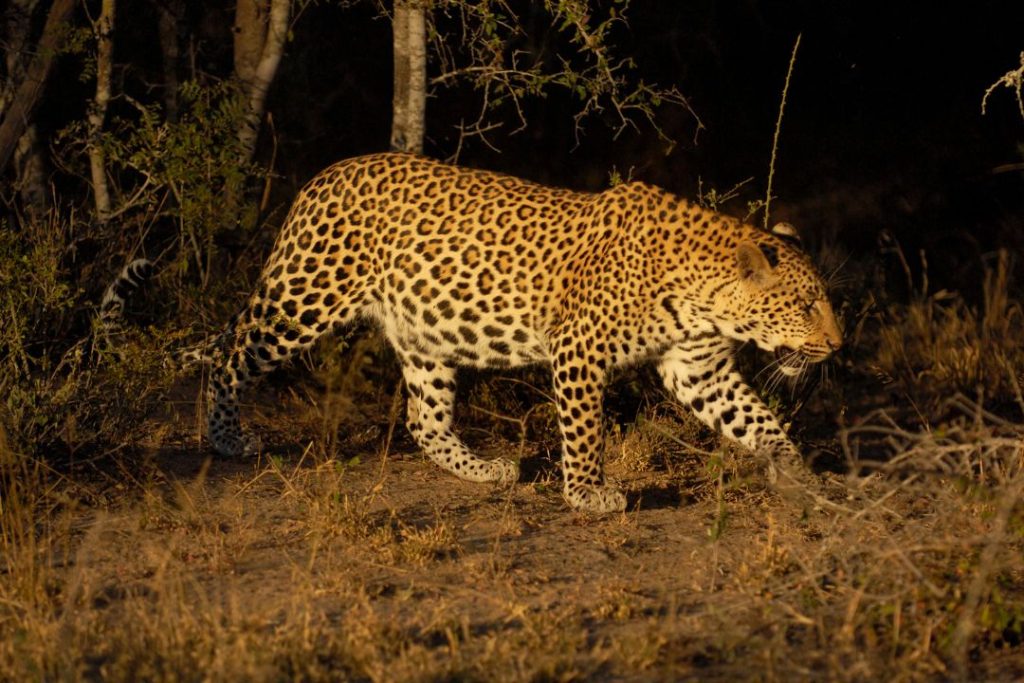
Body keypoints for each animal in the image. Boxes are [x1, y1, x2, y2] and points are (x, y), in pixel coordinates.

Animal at [161, 152, 841, 514]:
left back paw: (483, 470)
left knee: (425, 419)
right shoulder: (579, 352)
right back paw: (226, 438)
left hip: (424, 333)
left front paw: (798, 473)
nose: (837, 344)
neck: (704, 297)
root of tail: (320, 177)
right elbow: (585, 432)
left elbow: (759, 421)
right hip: (304, 298)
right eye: (807, 305)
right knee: (231, 359)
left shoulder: (699, 369)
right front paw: (588, 494)